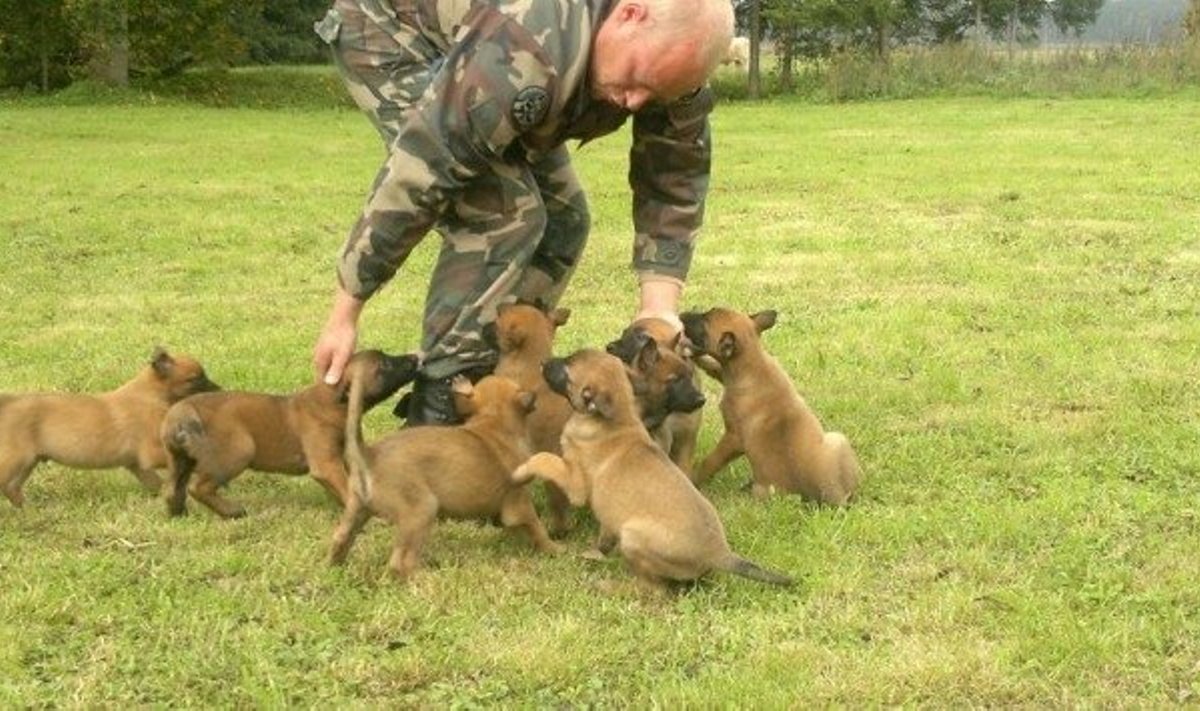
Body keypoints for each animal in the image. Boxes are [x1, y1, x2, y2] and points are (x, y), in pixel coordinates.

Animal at [0, 348, 220, 504]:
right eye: (195, 378)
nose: (219, 390)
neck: (150, 394)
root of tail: (7, 402)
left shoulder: (137, 464)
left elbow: (156, 483)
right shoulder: (152, 452)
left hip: (28, 462)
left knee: (11, 488)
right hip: (15, 460)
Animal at [160, 350, 417, 516]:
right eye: (384, 365)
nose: (415, 357)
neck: (333, 402)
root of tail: (180, 413)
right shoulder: (327, 465)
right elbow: (346, 488)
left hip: (180, 460)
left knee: (173, 489)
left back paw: (178, 512)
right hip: (238, 452)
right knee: (198, 488)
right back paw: (231, 511)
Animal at [511, 348, 792, 590]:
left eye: (567, 366)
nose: (543, 362)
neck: (618, 418)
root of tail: (720, 554)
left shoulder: (576, 485)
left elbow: (544, 458)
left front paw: (519, 471)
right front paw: (596, 551)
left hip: (633, 537)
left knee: (653, 589)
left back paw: (610, 586)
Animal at [681, 307, 859, 504]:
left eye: (704, 322)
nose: (682, 314)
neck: (753, 364)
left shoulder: (733, 438)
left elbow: (711, 462)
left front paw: (694, 479)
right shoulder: (725, 373)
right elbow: (714, 366)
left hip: (837, 439)